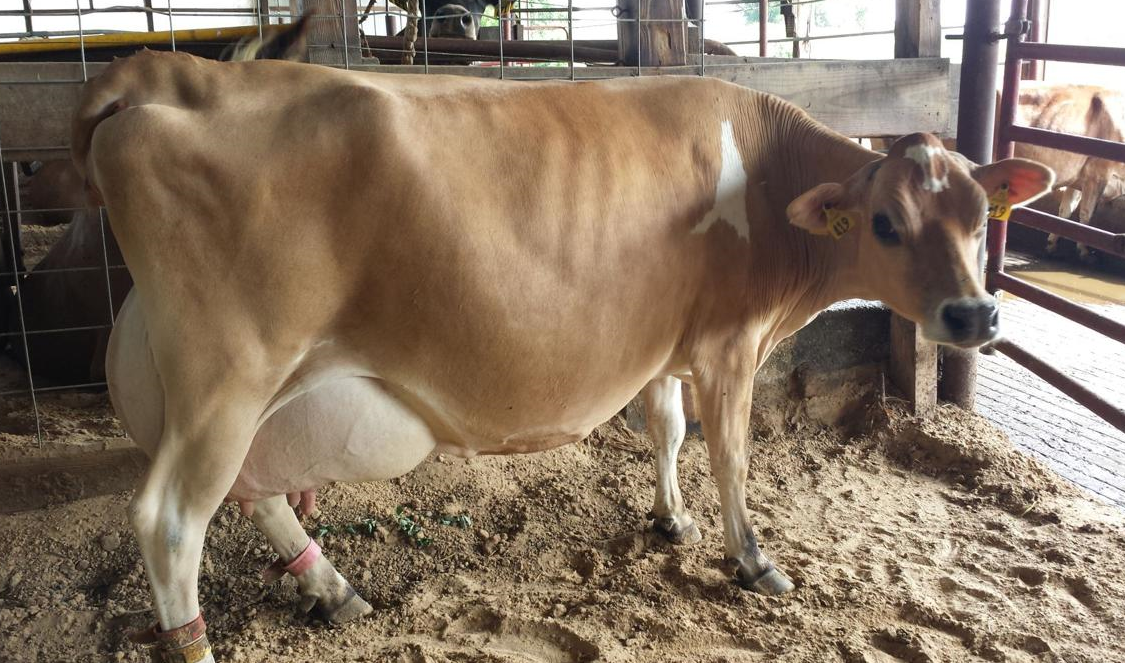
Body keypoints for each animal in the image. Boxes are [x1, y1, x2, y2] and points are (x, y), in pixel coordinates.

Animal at [71, 50, 1053, 662]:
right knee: (170, 520)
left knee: (252, 491)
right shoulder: (730, 343)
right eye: (885, 222)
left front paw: (669, 519)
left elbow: (665, 429)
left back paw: (331, 585)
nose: (975, 311)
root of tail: (180, 71)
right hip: (230, 371)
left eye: (981, 218)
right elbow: (731, 455)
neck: (769, 177)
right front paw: (752, 558)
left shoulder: (667, 343)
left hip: (230, 386)